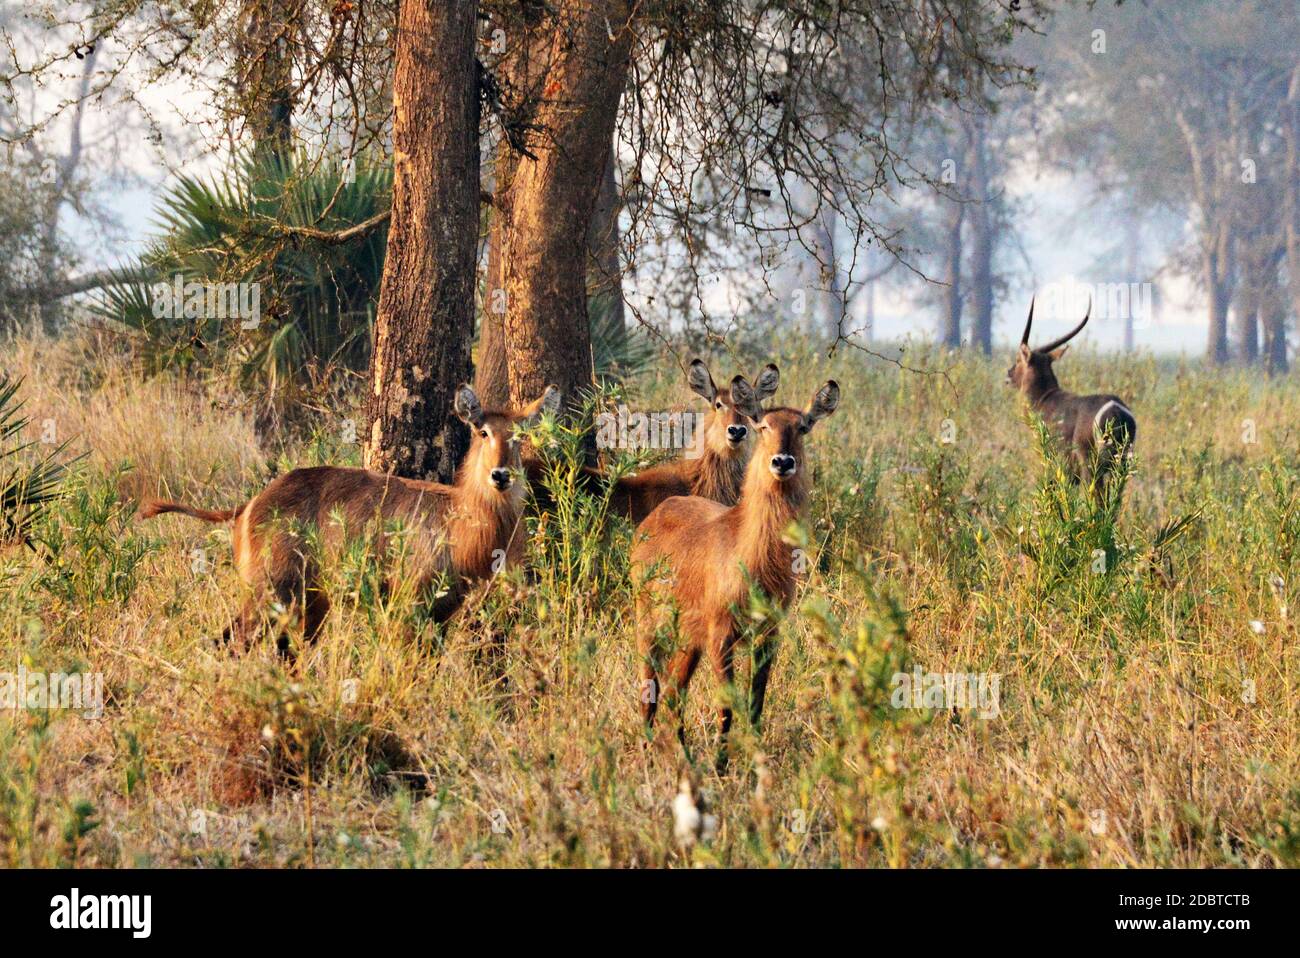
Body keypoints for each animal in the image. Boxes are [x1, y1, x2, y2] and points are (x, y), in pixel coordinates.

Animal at [141, 382, 559, 649]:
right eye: (482, 431)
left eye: (520, 436)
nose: (500, 475)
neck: (459, 516)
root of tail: (250, 504)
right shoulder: (410, 602)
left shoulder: (443, 610)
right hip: (270, 592)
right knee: (229, 642)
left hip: (308, 602)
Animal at [631, 369, 842, 764]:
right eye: (763, 425)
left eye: (803, 426)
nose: (782, 462)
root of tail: (657, 514)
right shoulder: (722, 634)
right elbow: (727, 705)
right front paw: (721, 765)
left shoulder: (768, 633)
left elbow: (756, 700)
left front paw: (756, 756)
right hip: (649, 623)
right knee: (650, 687)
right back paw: (649, 748)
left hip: (689, 639)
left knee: (675, 690)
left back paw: (683, 755)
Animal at [1008, 297, 1133, 493]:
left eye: (1018, 359)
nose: (1009, 373)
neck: (1044, 398)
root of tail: (1116, 411)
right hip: (1120, 465)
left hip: (1091, 463)